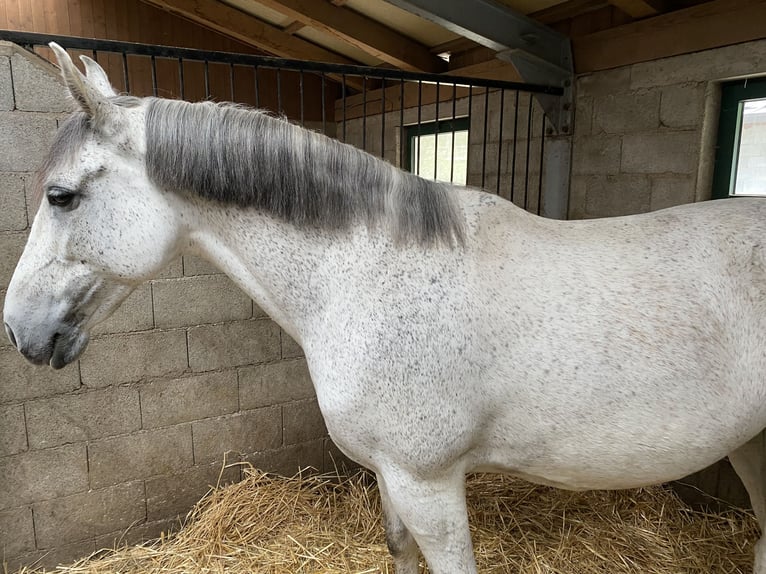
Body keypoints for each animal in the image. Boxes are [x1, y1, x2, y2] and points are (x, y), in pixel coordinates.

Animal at [4, 42, 766, 572]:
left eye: (61, 196)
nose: (18, 329)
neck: (367, 277)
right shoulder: (390, 477)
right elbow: (398, 550)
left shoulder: (429, 482)